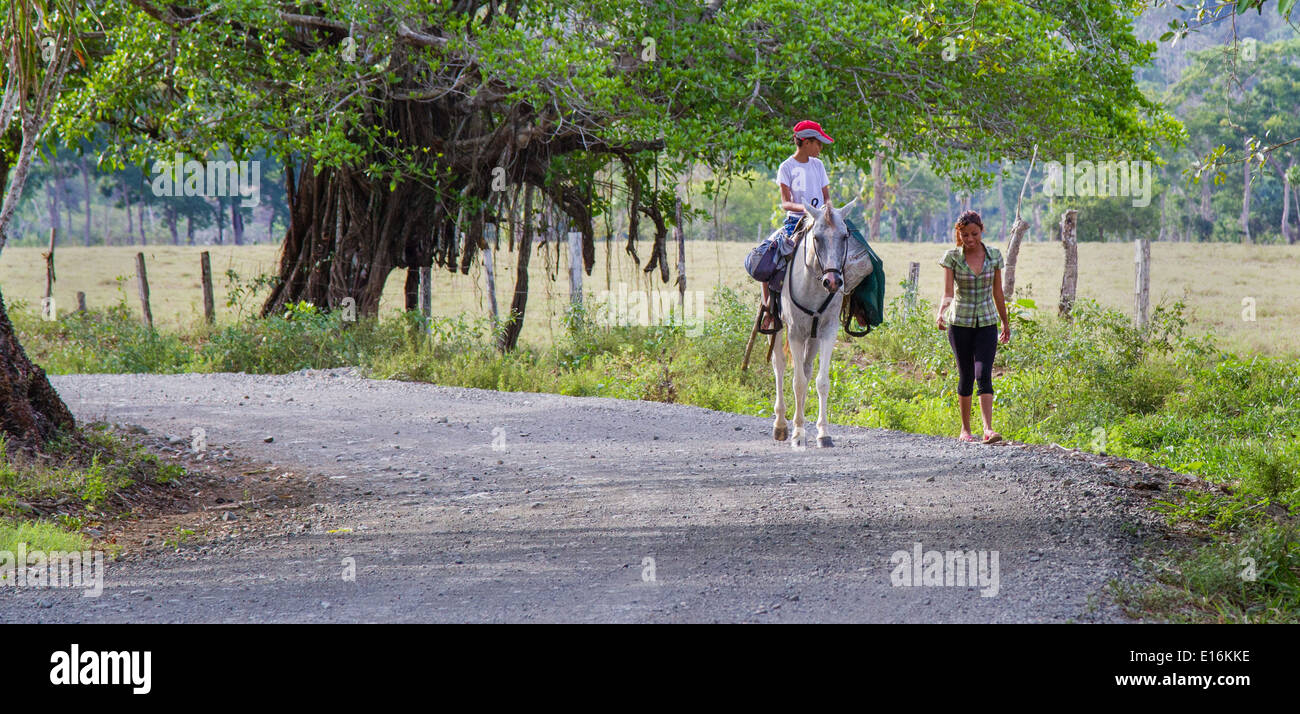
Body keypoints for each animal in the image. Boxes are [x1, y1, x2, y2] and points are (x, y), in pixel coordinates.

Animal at [769, 197, 863, 447]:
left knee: (807, 369)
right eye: (817, 237)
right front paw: (797, 432)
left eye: (845, 236)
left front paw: (823, 433)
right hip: (778, 327)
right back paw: (781, 425)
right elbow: (798, 383)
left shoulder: (828, 331)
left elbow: (821, 381)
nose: (833, 281)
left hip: (812, 338)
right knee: (780, 365)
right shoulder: (794, 333)